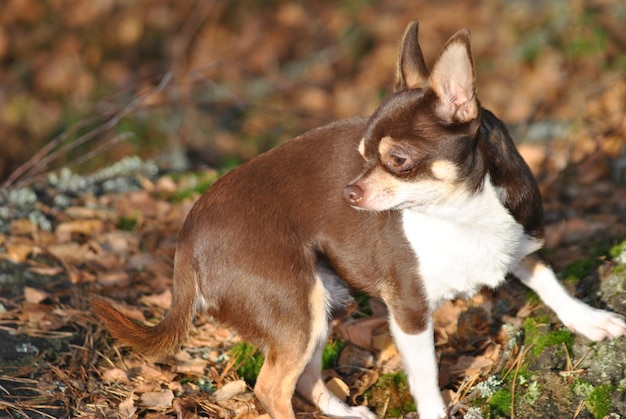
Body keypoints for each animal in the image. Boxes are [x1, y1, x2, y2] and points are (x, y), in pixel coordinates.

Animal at [94, 21, 624, 418]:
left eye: (397, 160)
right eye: (363, 155)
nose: (349, 191)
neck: (460, 213)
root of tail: (186, 238)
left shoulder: (520, 242)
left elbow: (550, 281)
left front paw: (590, 319)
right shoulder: (408, 310)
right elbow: (426, 377)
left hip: (324, 299)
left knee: (304, 378)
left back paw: (347, 412)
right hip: (295, 305)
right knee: (271, 388)